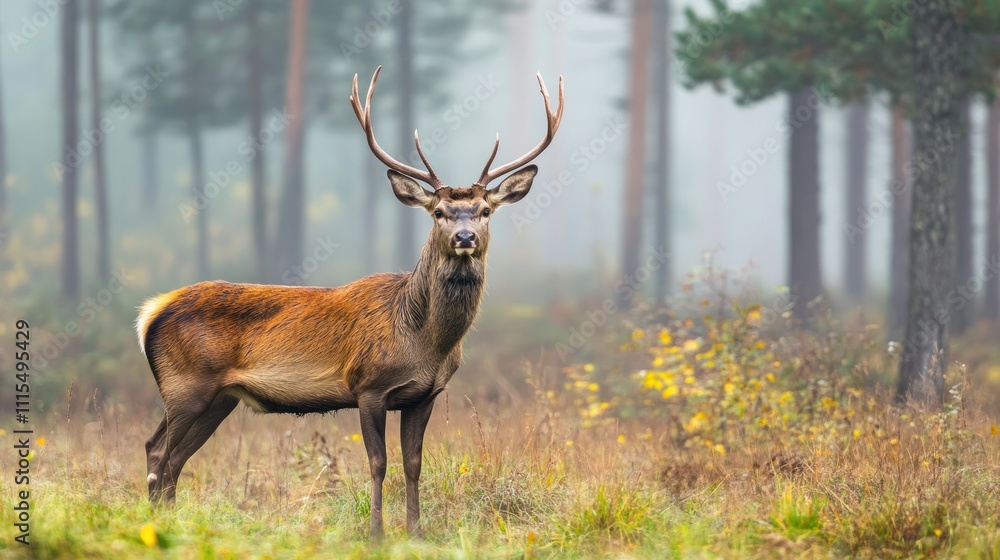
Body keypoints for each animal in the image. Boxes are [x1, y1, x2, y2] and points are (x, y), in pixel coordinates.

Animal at [136, 66, 563, 539]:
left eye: (486, 210)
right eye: (438, 212)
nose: (464, 236)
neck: (425, 340)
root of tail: (152, 311)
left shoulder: (424, 394)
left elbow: (413, 464)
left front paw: (416, 533)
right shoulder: (367, 385)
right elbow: (378, 463)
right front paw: (376, 534)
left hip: (219, 398)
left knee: (174, 458)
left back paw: (171, 521)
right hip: (185, 384)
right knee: (157, 451)